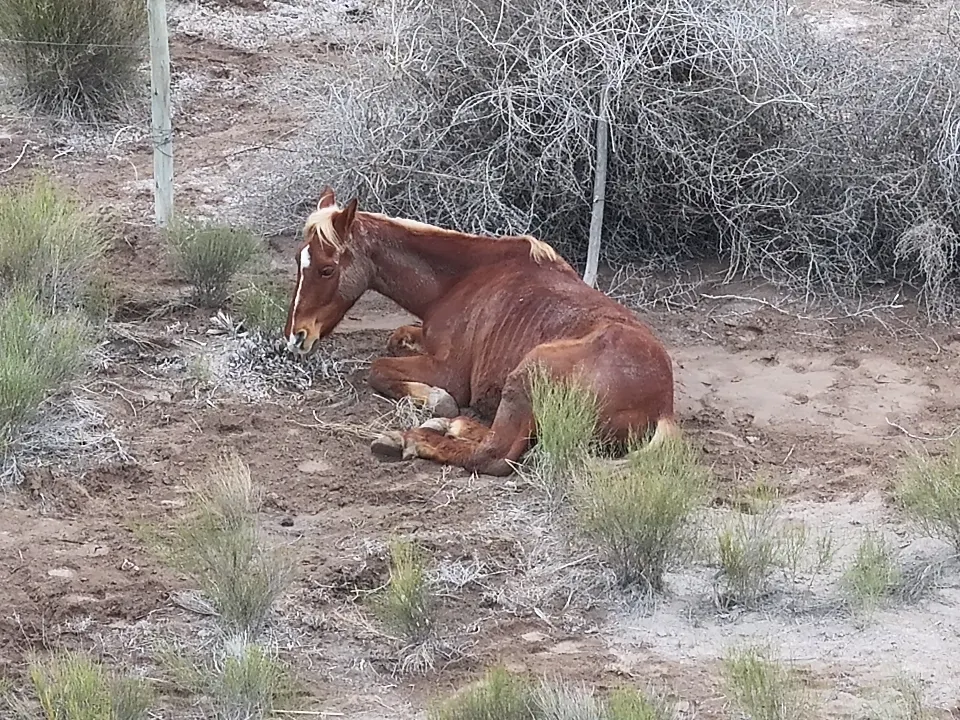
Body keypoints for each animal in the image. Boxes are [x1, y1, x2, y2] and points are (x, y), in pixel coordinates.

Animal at [283, 186, 679, 477]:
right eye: (300, 260)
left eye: (326, 269)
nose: (296, 337)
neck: (461, 280)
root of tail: (662, 407)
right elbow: (396, 338)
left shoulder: (450, 373)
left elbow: (379, 370)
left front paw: (436, 399)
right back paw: (451, 426)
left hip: (528, 372)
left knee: (494, 455)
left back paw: (408, 438)